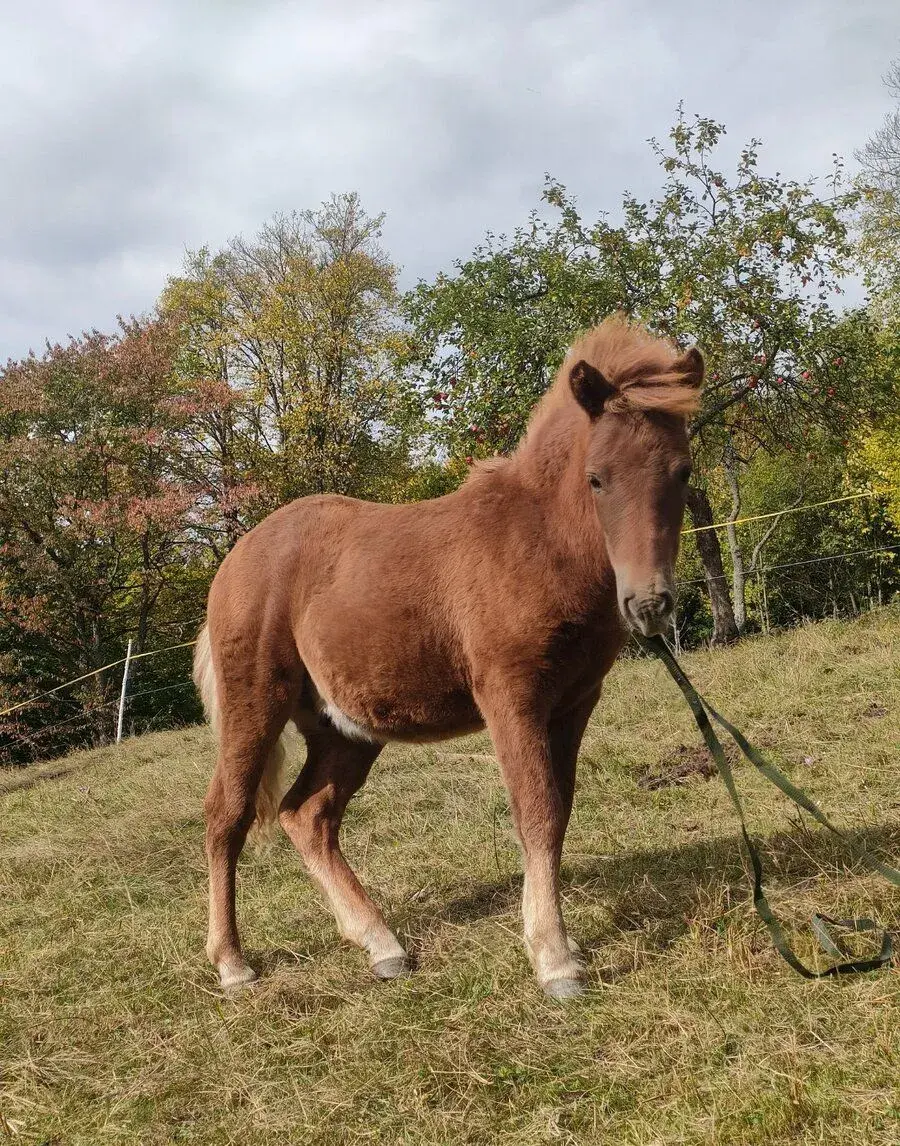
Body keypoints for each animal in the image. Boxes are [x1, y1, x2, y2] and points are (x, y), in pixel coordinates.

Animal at [194, 315, 703, 1000]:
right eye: (597, 477)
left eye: (682, 472)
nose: (649, 604)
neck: (538, 544)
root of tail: (233, 560)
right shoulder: (510, 697)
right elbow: (536, 811)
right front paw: (554, 960)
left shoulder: (574, 703)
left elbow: (560, 811)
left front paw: (553, 943)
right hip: (255, 704)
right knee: (227, 815)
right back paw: (233, 963)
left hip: (344, 727)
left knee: (307, 815)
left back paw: (382, 945)